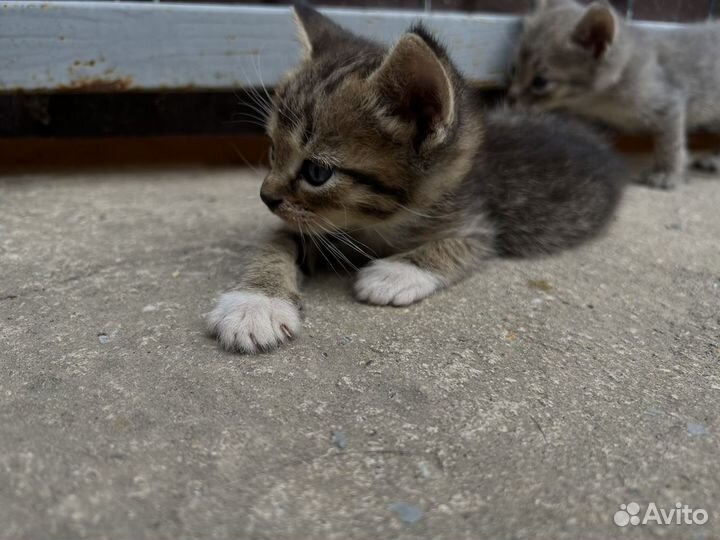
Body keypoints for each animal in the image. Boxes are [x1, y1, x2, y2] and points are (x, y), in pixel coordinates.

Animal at [205, 6, 628, 356]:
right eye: (272, 150)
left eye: (316, 173)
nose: (265, 196)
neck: (376, 221)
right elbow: (277, 241)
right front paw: (255, 303)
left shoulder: (479, 224)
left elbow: (455, 246)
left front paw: (397, 272)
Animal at [510, 0, 720, 190]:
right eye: (514, 69)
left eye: (540, 82)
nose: (511, 98)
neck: (599, 101)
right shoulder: (597, 121)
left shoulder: (669, 104)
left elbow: (670, 144)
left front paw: (666, 172)